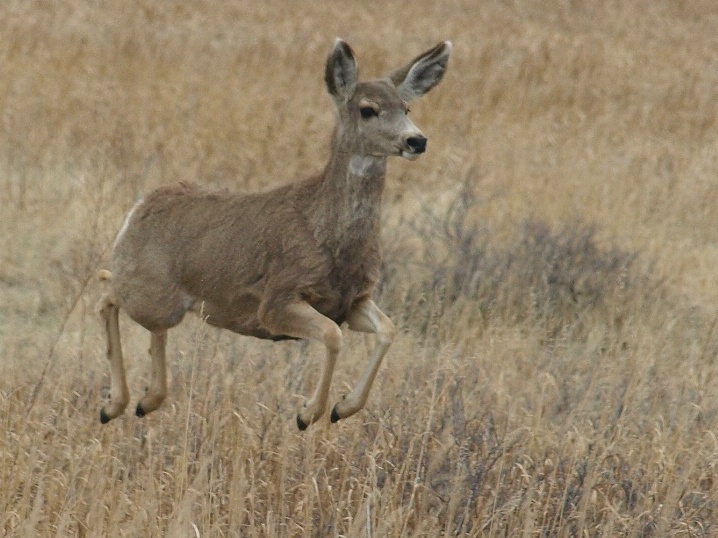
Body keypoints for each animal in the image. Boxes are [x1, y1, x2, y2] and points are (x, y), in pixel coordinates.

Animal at [98, 38, 452, 428]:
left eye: (406, 107)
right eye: (368, 109)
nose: (417, 140)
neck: (329, 238)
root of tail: (136, 211)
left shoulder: (352, 301)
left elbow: (388, 329)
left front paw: (342, 407)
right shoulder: (277, 299)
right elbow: (333, 336)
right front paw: (309, 413)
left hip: (162, 302)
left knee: (146, 324)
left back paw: (147, 400)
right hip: (149, 291)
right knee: (107, 294)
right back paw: (113, 404)